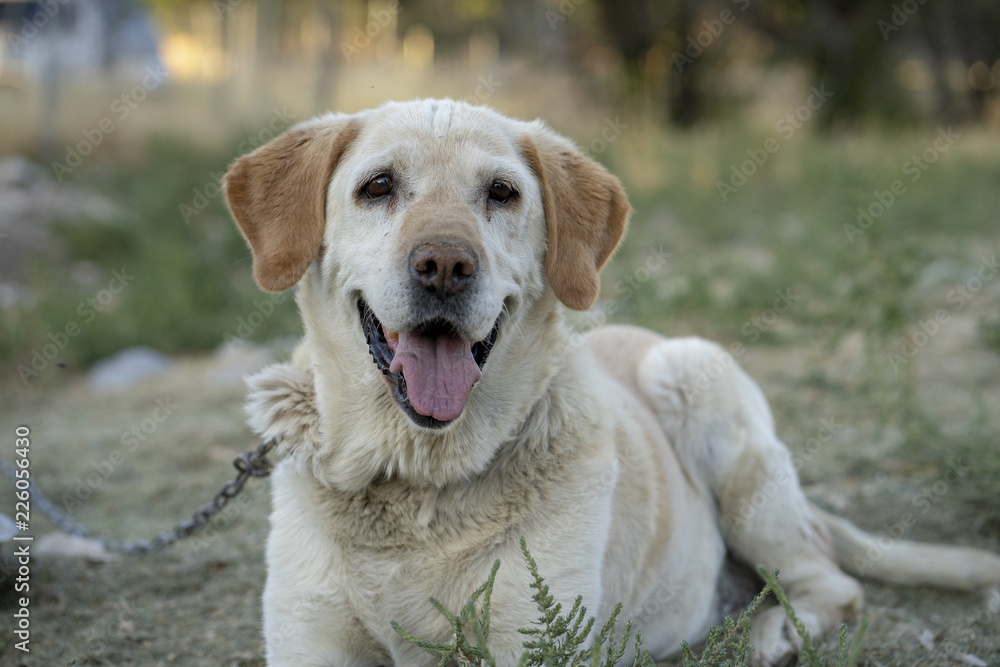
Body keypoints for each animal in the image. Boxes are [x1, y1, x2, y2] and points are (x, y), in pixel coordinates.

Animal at [225, 100, 1000, 667]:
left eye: (502, 193)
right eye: (378, 186)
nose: (445, 265)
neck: (418, 476)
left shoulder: (535, 638)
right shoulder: (307, 639)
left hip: (701, 392)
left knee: (833, 582)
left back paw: (773, 635)